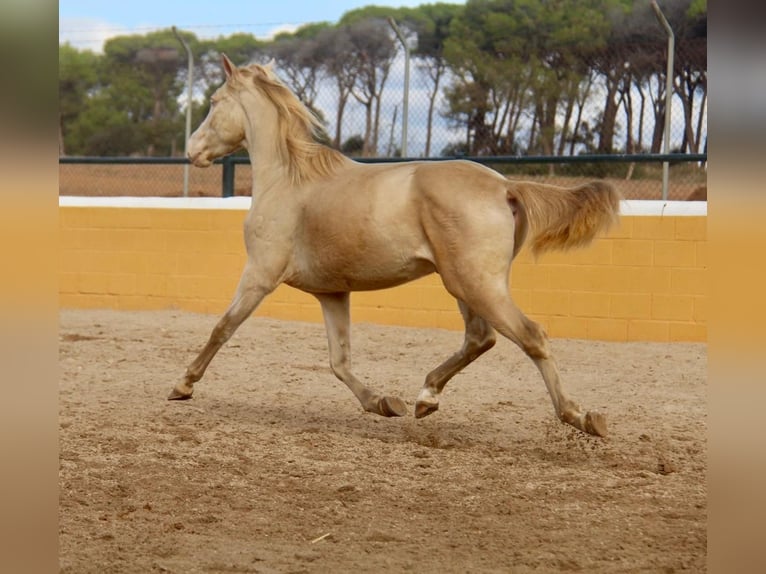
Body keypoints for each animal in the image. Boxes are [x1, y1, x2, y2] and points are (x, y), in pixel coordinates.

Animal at [168, 54, 620, 437]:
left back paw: (580, 416)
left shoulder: (260, 274)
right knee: (480, 338)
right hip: (467, 285)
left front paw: (182, 385)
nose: (192, 150)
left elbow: (223, 327)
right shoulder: (332, 292)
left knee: (530, 336)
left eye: (214, 101)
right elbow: (339, 360)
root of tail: (505, 186)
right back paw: (426, 398)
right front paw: (384, 402)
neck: (288, 180)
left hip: (474, 284)